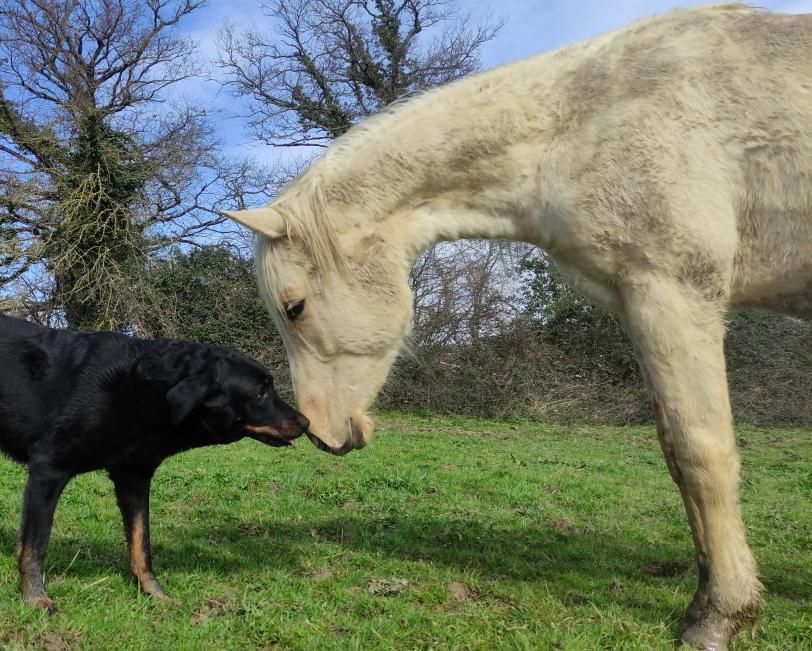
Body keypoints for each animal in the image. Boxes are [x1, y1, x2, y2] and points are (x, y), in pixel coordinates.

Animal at [0, 314, 310, 612]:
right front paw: (35, 598)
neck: (143, 391)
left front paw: (154, 593)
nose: (306, 422)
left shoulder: (134, 478)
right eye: (260, 392)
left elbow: (141, 543)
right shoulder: (48, 468)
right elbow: (34, 546)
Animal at [224, 6, 812, 651]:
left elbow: (700, 451)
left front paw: (719, 614)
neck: (579, 122)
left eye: (295, 307)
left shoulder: (674, 293)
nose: (320, 433)